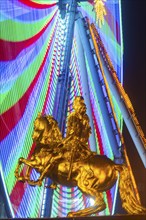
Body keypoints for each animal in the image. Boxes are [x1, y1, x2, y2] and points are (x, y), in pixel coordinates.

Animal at [14, 114, 146, 217]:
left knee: (100, 203)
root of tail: (113, 165)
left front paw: (23, 177)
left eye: (37, 124)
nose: (34, 137)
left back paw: (74, 213)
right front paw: (25, 178)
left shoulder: (39, 165)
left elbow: (23, 160)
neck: (48, 145)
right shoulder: (35, 162)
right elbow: (25, 163)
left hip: (85, 184)